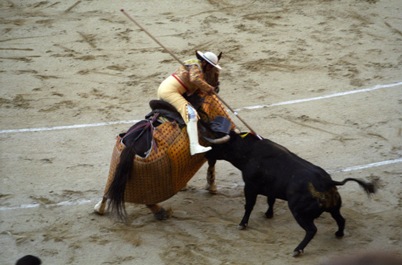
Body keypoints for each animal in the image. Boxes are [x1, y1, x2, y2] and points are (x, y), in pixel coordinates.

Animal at [206, 130, 378, 256]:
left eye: (216, 147)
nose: (206, 155)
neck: (249, 151)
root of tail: (328, 182)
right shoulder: (271, 188)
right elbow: (270, 201)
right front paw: (268, 214)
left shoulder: (250, 187)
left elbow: (249, 206)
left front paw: (242, 224)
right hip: (334, 208)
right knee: (341, 220)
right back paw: (339, 234)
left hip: (298, 212)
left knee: (312, 230)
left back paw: (298, 250)